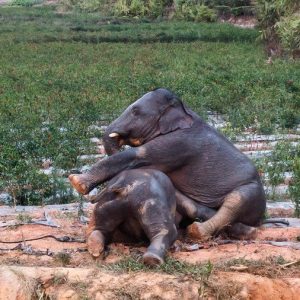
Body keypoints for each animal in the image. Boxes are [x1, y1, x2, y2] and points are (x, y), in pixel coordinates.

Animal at [69, 88, 266, 240]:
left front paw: (76, 181)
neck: (183, 109)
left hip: (252, 192)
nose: (94, 198)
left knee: (235, 202)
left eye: (135, 111)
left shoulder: (179, 144)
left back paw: (198, 231)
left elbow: (138, 156)